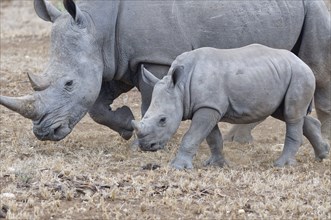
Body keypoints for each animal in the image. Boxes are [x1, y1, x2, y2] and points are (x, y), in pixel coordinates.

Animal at [132, 44, 330, 168]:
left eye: (163, 120)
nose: (146, 146)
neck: (180, 87)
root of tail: (302, 62)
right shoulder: (208, 106)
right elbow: (212, 138)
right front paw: (216, 165)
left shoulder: (208, 107)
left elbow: (192, 136)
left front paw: (178, 167)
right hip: (281, 74)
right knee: (287, 113)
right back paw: (322, 155)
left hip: (299, 75)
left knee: (291, 115)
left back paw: (282, 165)